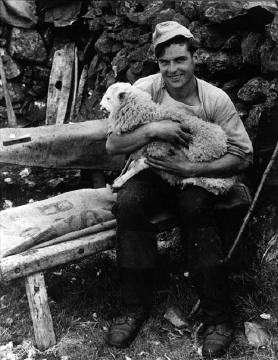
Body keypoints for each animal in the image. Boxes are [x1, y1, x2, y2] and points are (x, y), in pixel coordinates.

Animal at [101, 82, 236, 195]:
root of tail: (224, 143)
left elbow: (136, 167)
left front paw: (120, 181)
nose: (100, 106)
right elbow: (133, 164)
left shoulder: (157, 150)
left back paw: (188, 181)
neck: (146, 115)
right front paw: (119, 177)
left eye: (108, 98)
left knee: (217, 185)